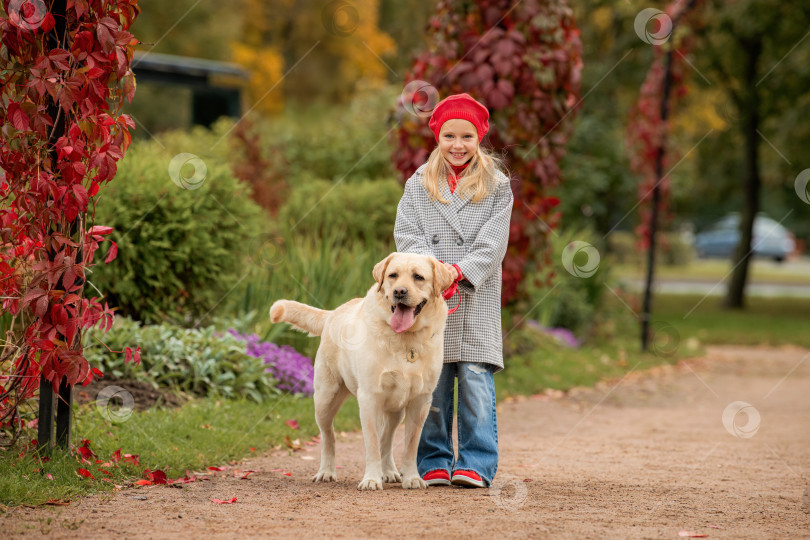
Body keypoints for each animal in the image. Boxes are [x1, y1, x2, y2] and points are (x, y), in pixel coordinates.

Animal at [266, 252, 452, 490]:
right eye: (392, 275)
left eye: (418, 277)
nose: (399, 292)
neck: (405, 339)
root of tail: (333, 313)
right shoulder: (370, 398)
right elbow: (371, 444)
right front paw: (371, 479)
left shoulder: (420, 401)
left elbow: (410, 445)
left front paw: (411, 478)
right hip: (325, 399)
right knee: (329, 436)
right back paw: (326, 472)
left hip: (395, 410)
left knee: (387, 439)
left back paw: (389, 472)